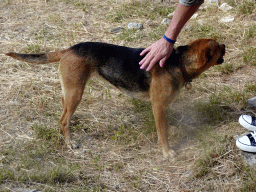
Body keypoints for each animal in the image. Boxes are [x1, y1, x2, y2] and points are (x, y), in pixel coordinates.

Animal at [6, 38, 225, 158]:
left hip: (70, 90)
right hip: (76, 92)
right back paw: (70, 143)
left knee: (64, 110)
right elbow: (162, 132)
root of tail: (69, 49)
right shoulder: (157, 106)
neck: (178, 62)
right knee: (63, 119)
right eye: (218, 48)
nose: (225, 44)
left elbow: (165, 125)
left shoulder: (162, 107)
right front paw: (167, 152)